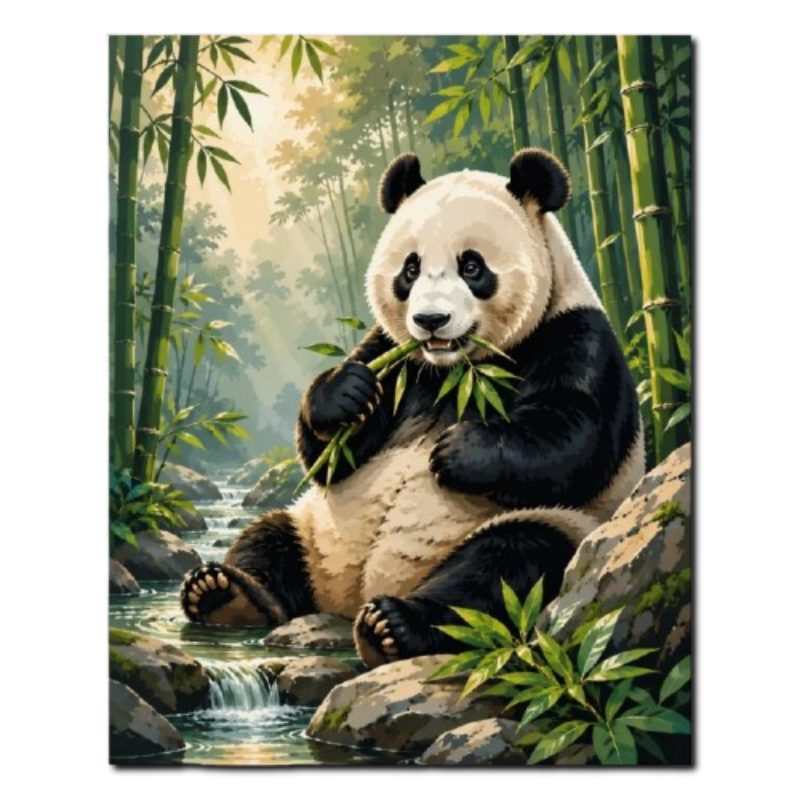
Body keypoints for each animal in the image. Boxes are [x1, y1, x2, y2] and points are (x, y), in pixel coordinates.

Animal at [180, 148, 644, 669]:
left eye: (472, 267)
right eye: (411, 269)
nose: (430, 320)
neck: (455, 371)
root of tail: (347, 598)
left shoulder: (575, 336)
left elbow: (576, 439)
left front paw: (457, 451)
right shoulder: (393, 355)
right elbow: (329, 457)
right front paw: (344, 396)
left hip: (556, 525)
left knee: (501, 568)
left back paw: (393, 625)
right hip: (314, 528)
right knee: (270, 536)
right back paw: (225, 592)